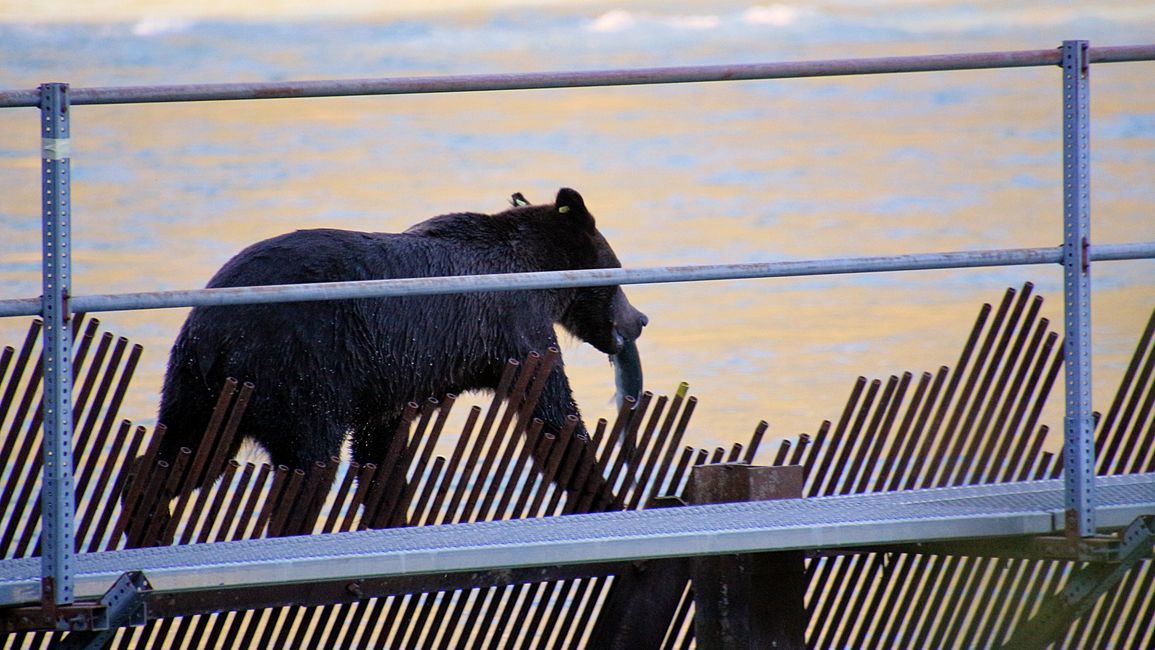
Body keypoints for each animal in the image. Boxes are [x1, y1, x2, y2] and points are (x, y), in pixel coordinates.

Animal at [151, 187, 651, 528]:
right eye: (617, 268)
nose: (640, 319)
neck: (539, 277)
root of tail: (215, 334)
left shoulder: (385, 379)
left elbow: (381, 450)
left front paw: (387, 506)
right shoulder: (514, 326)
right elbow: (551, 412)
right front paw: (604, 494)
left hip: (198, 384)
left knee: (184, 452)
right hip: (296, 368)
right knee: (308, 457)